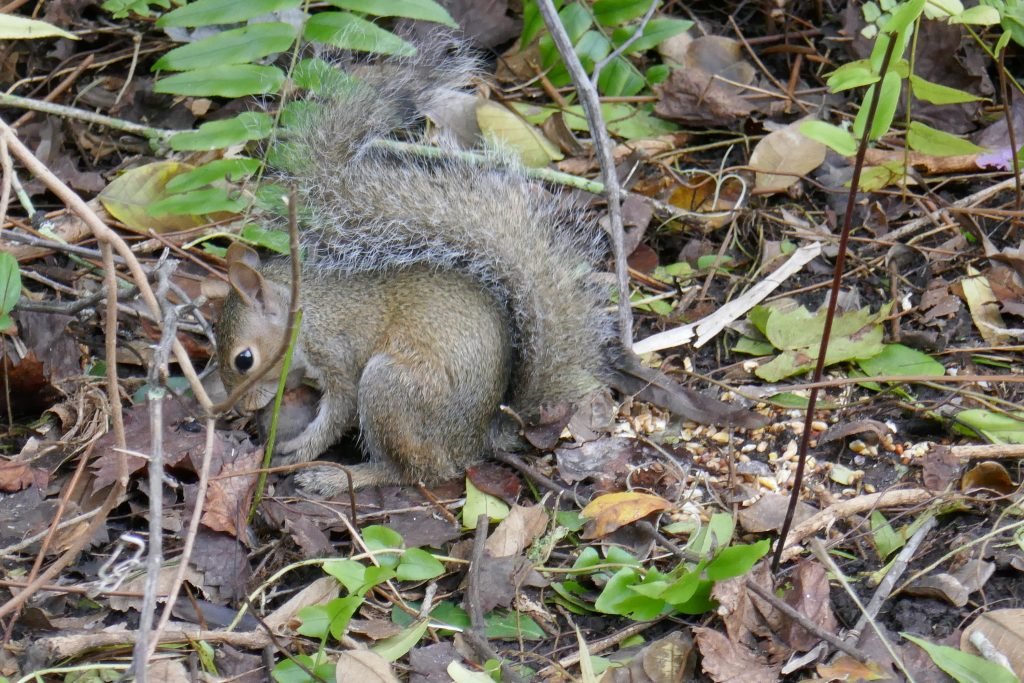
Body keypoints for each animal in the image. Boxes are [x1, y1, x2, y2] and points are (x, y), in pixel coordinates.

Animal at [216, 46, 761, 497]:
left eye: (244, 359)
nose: (237, 410)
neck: (306, 306)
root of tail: (478, 438)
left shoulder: (340, 354)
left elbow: (339, 409)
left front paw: (303, 448)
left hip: (394, 389)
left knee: (417, 471)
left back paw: (340, 476)